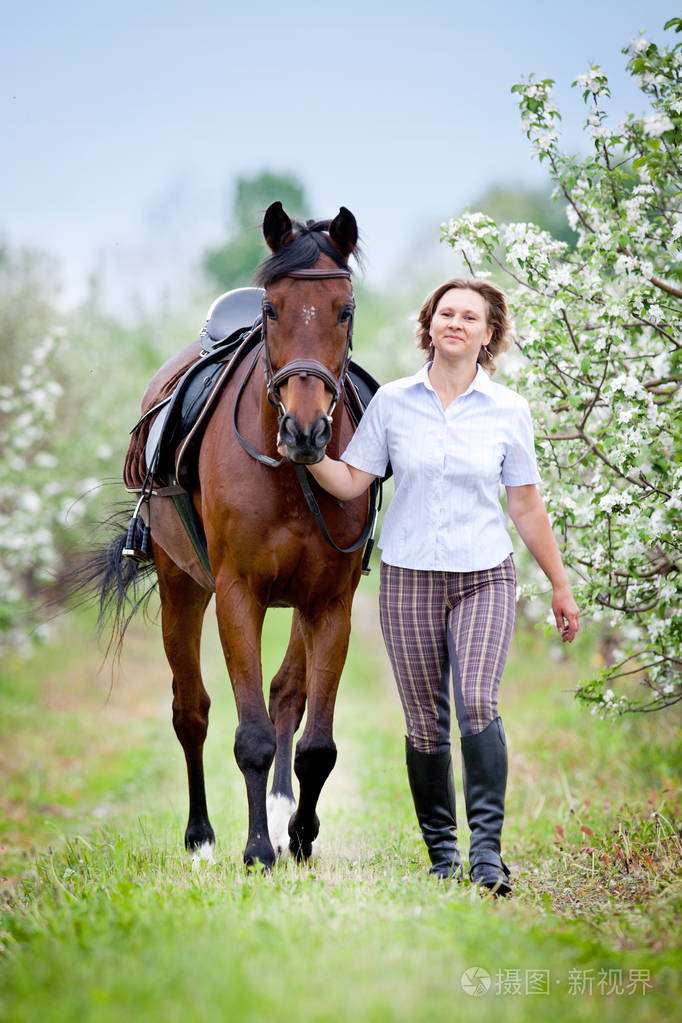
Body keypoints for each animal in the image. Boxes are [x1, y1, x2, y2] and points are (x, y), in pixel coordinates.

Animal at [78, 202, 372, 870]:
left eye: (344, 309)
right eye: (272, 309)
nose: (306, 431)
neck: (292, 476)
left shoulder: (330, 601)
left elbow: (316, 741)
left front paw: (300, 836)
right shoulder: (238, 595)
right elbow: (251, 735)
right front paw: (258, 850)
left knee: (287, 694)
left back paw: (286, 815)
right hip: (180, 586)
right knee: (191, 711)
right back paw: (201, 836)